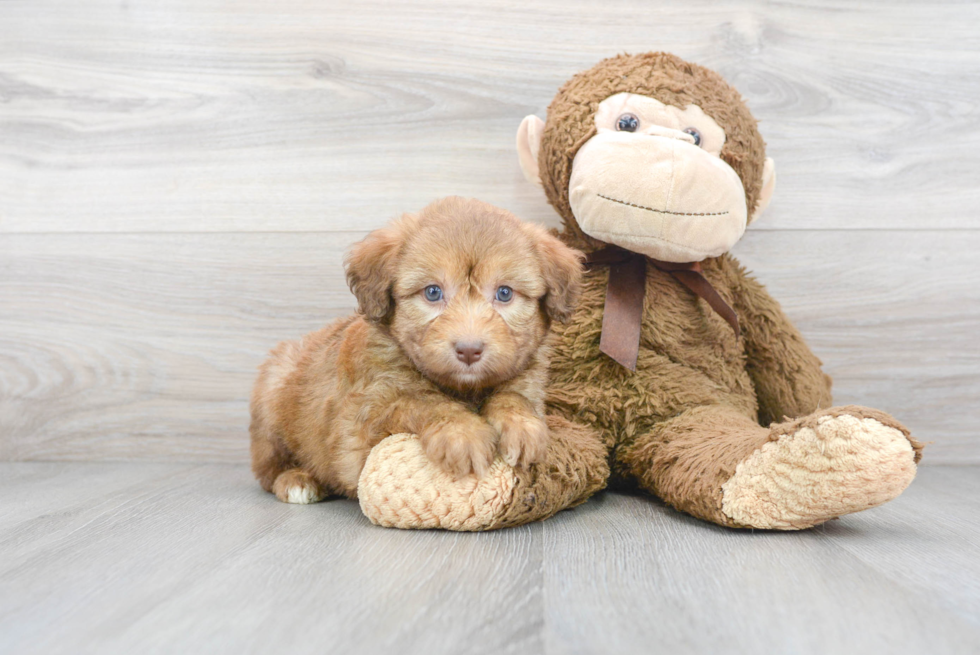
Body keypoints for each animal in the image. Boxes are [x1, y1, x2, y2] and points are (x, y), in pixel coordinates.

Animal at [249, 197, 580, 504]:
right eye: (432, 292)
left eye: (505, 293)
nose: (469, 350)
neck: (465, 390)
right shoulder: (360, 428)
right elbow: (420, 401)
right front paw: (461, 432)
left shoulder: (528, 383)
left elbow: (513, 396)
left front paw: (521, 424)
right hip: (273, 398)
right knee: (267, 469)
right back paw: (297, 480)